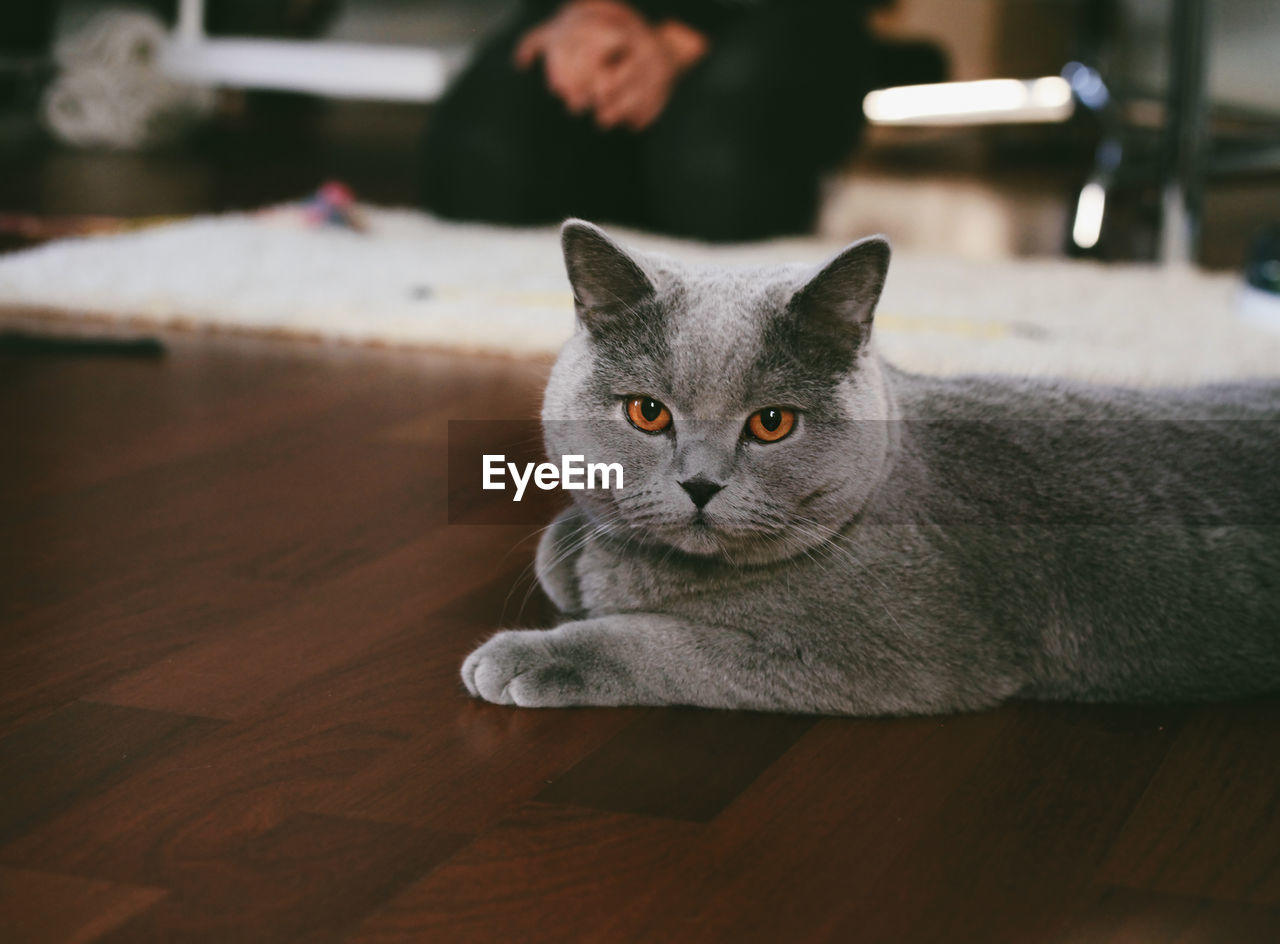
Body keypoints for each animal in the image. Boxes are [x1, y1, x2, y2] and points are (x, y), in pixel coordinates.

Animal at [460, 218, 1280, 706]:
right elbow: (562, 545)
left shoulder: (880, 651)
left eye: (772, 423)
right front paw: (570, 551)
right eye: (648, 414)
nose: (698, 484)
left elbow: (662, 641)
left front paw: (527, 655)